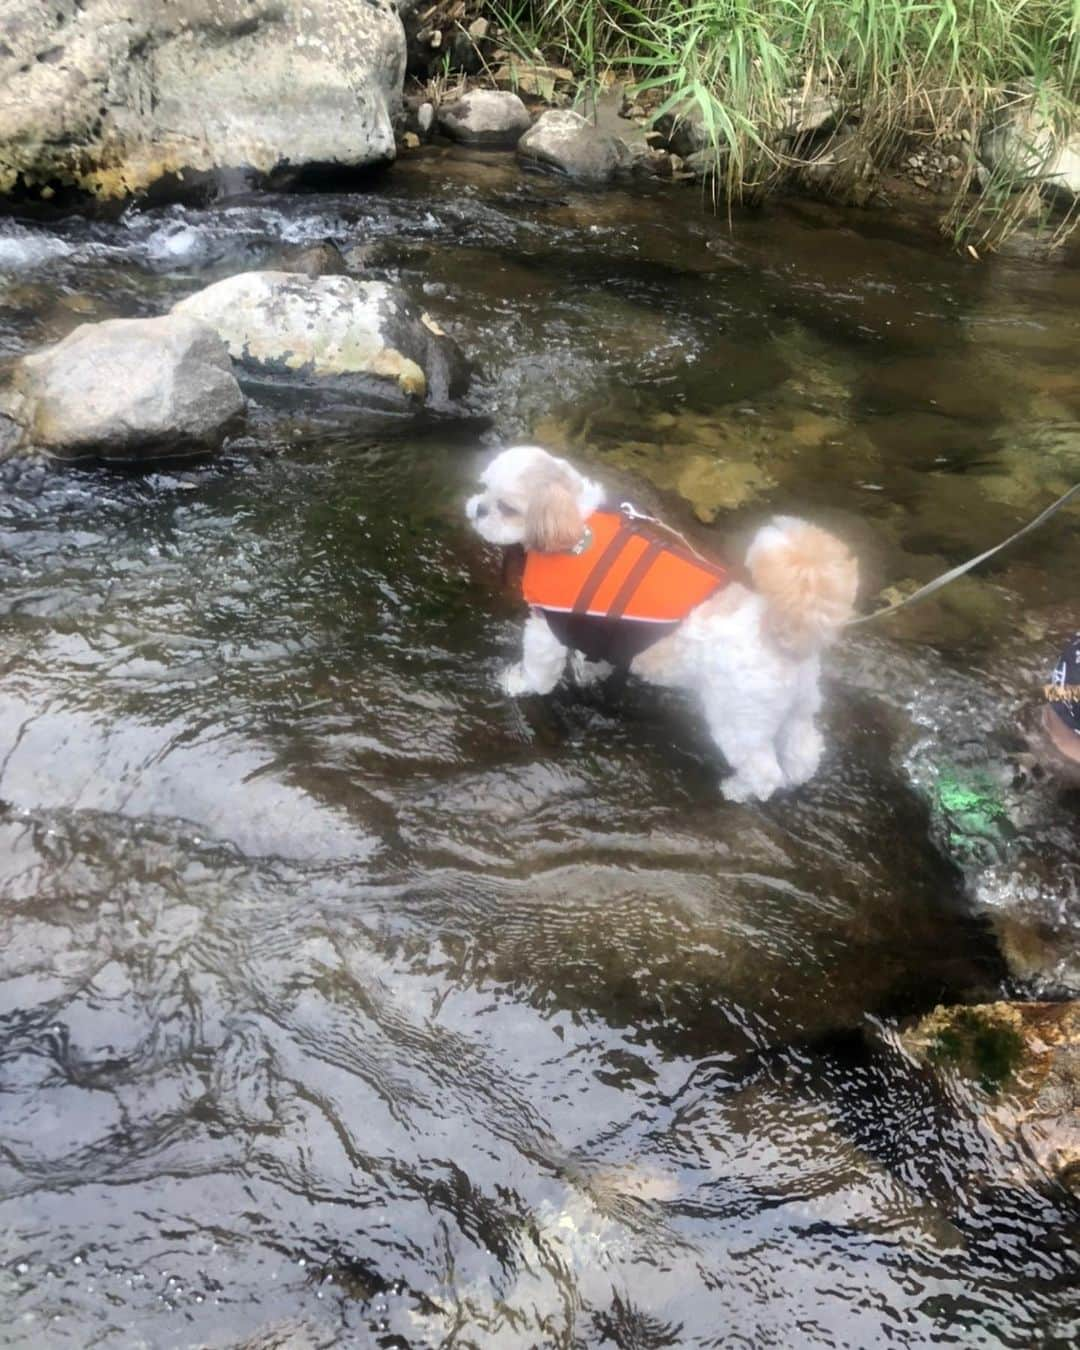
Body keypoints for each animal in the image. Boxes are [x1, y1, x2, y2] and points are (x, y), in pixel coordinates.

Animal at [467, 442, 858, 799]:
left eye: (507, 508)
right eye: (483, 487)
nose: (478, 508)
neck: (575, 526)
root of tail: (780, 632)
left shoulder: (547, 629)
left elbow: (539, 670)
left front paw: (518, 683)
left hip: (739, 719)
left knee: (764, 772)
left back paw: (738, 791)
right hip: (796, 708)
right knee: (804, 748)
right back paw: (798, 775)